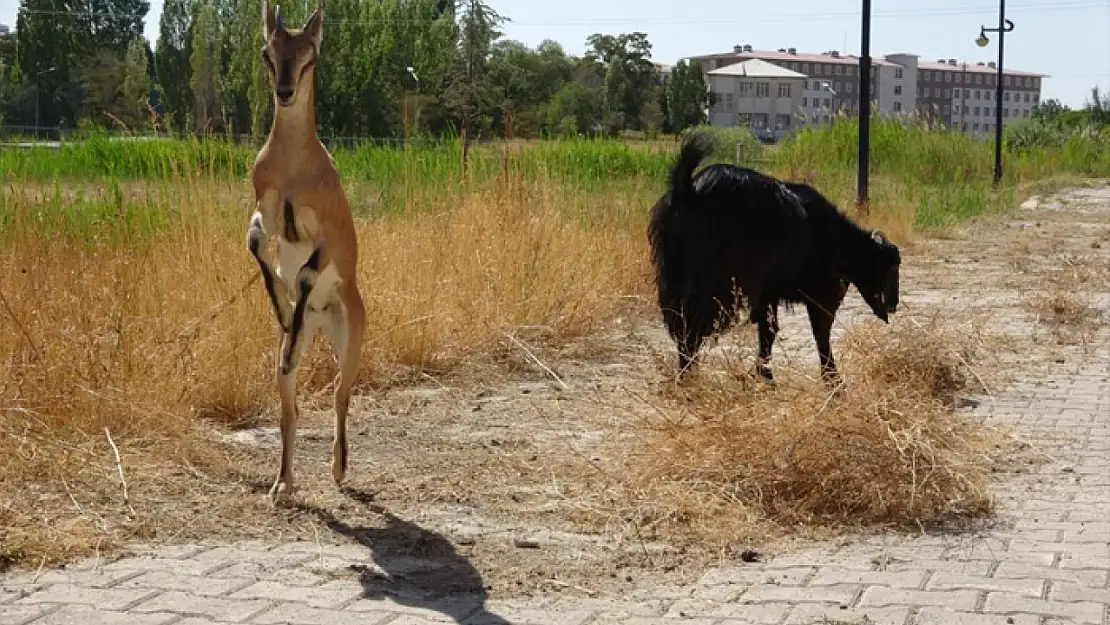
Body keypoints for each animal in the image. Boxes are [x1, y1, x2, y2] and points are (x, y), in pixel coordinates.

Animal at [648, 134, 901, 384]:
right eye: (891, 266)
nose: (894, 304)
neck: (838, 239)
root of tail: (689, 190)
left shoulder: (769, 294)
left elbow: (768, 330)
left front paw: (764, 374)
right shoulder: (820, 295)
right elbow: (819, 332)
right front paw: (832, 381)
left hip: (673, 277)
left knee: (682, 326)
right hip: (714, 287)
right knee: (692, 327)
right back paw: (688, 377)